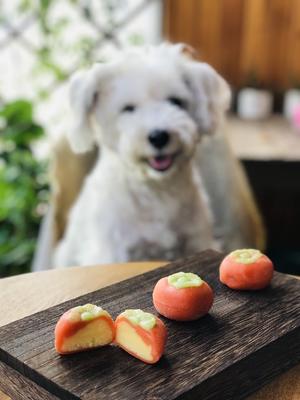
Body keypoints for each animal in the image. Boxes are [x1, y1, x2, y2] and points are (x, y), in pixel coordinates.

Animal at [54, 43, 264, 268]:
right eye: (128, 108)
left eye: (176, 101)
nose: (158, 136)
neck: (156, 190)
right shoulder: (112, 250)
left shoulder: (196, 238)